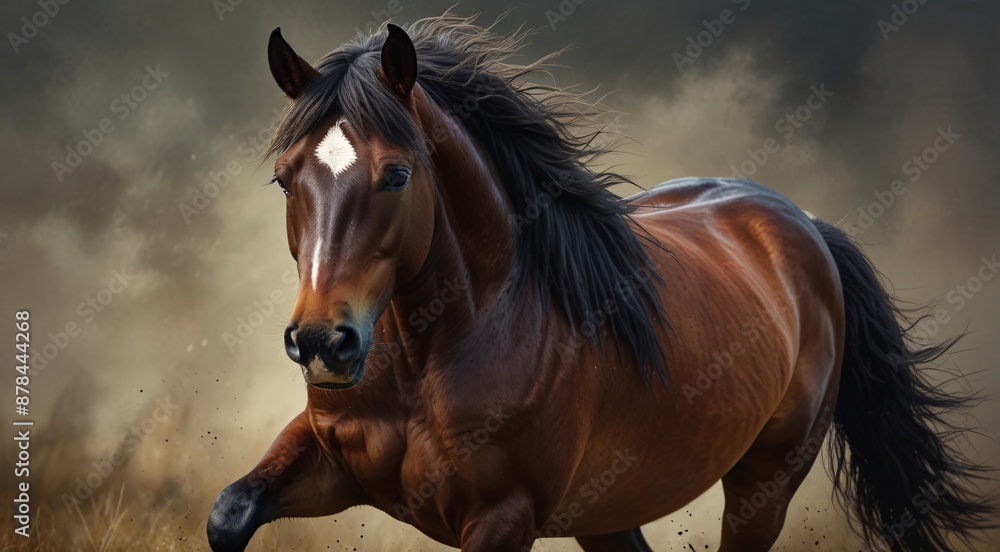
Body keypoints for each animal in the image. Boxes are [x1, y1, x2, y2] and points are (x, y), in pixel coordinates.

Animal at [207, 16, 993, 551]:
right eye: (285, 180)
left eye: (397, 175)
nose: (323, 343)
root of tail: (804, 224)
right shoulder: (329, 460)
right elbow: (228, 514)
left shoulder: (502, 518)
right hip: (605, 510)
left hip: (764, 483)